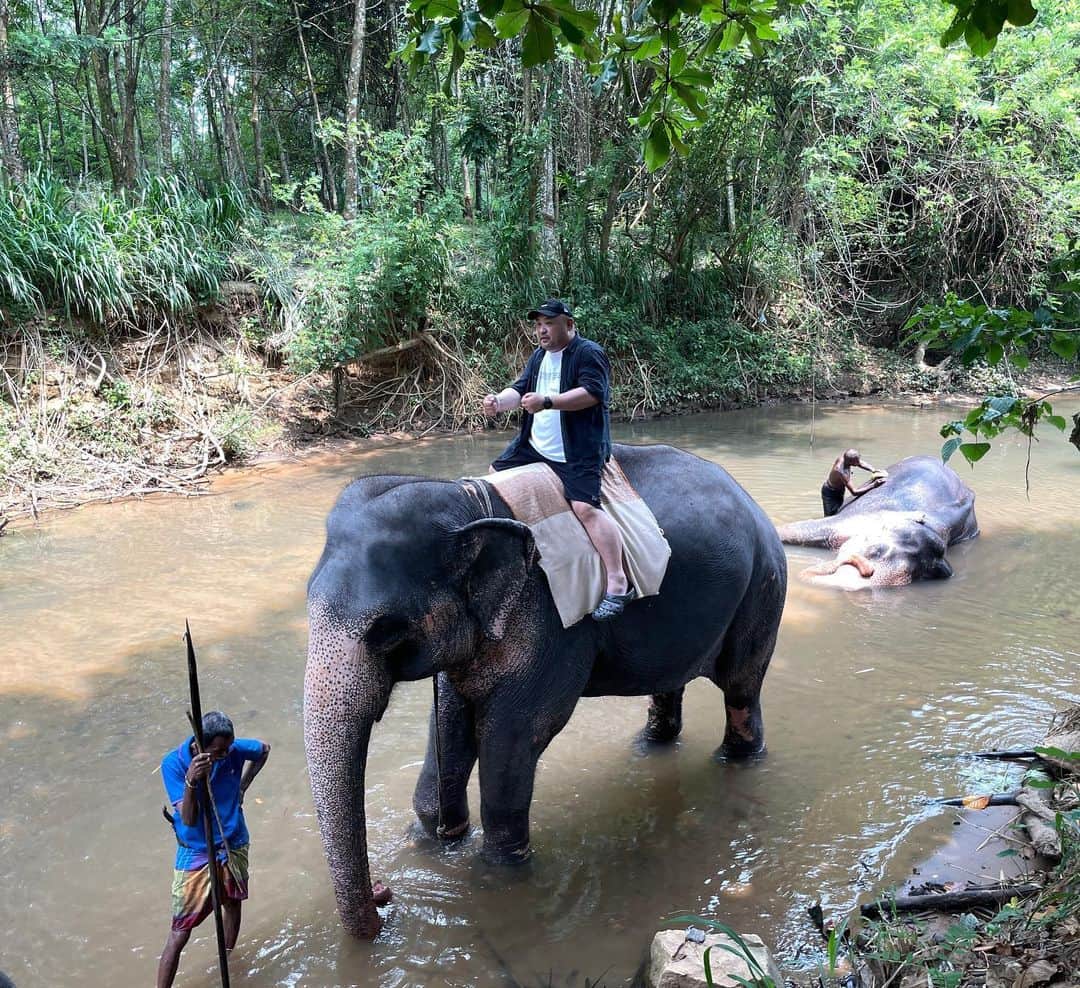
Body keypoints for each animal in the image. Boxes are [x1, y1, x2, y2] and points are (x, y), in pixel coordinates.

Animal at [304, 442, 787, 939]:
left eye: (387, 631)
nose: (383, 894)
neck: (469, 501)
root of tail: (752, 501)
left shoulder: (553, 626)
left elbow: (514, 734)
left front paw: (497, 878)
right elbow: (450, 720)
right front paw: (431, 841)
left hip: (763, 586)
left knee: (741, 688)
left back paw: (736, 760)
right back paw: (649, 747)